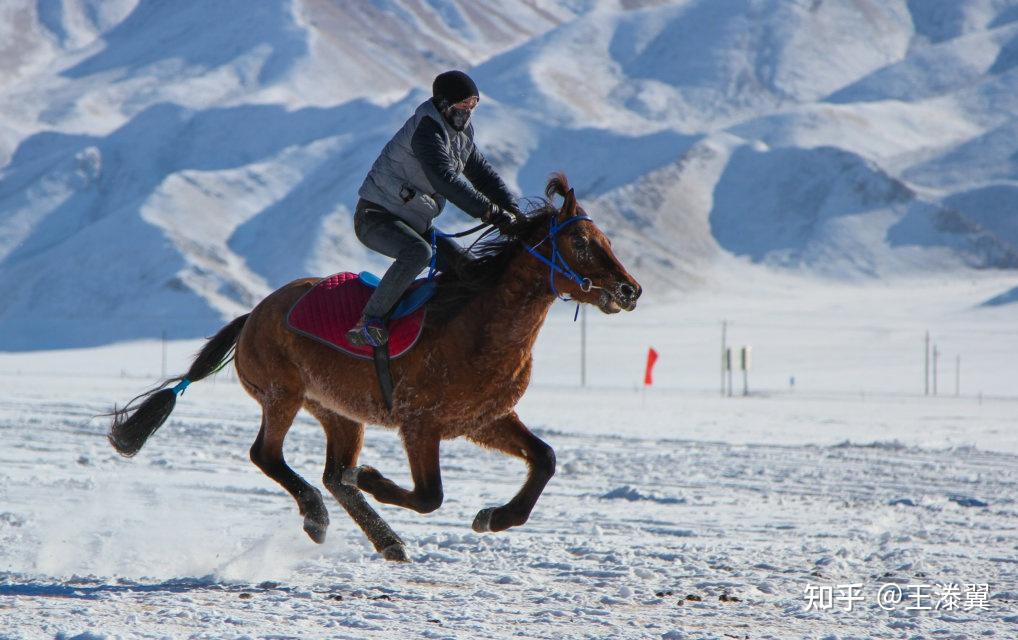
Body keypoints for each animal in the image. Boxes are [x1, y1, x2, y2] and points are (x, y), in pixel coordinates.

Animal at [107, 172, 639, 557]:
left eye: (607, 239)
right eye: (581, 243)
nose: (630, 290)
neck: (477, 325)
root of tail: (254, 315)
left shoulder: (484, 420)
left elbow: (544, 459)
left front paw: (493, 517)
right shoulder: (420, 424)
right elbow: (429, 496)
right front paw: (372, 478)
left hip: (338, 411)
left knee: (329, 474)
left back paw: (383, 539)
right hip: (283, 395)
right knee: (268, 456)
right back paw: (320, 517)